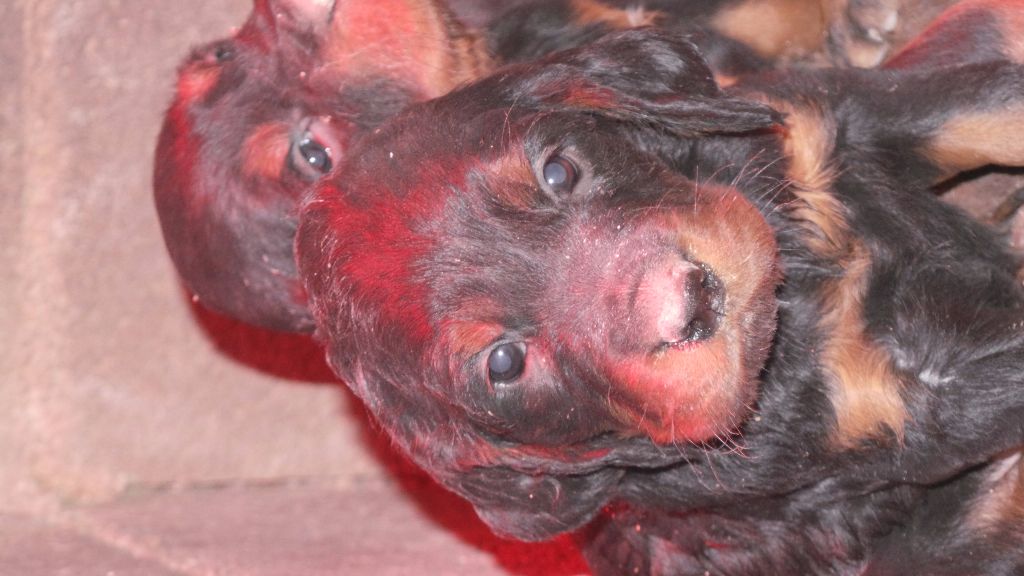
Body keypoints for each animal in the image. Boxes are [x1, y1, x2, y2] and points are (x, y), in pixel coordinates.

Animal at [295, 26, 1024, 575]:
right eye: (505, 364)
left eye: (558, 170)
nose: (694, 302)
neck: (796, 308)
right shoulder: (905, 414)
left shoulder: (833, 121)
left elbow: (995, 105)